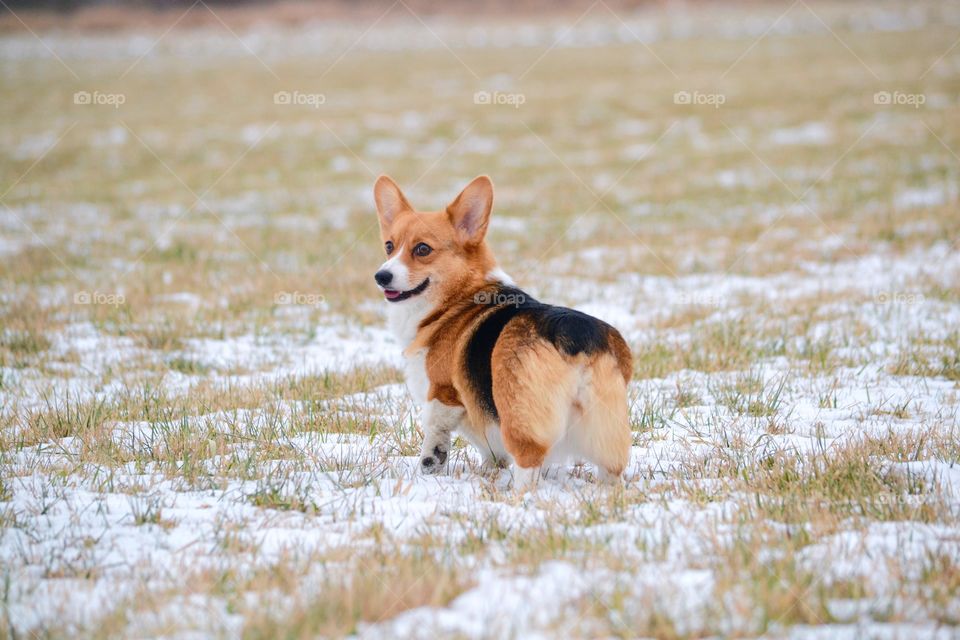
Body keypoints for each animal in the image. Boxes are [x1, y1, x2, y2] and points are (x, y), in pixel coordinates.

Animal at [376, 175, 636, 484]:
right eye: (389, 246)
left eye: (423, 249)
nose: (381, 276)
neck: (458, 298)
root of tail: (574, 336)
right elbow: (490, 453)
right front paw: (487, 473)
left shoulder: (443, 394)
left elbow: (435, 437)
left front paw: (428, 471)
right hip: (605, 428)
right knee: (612, 471)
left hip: (520, 417)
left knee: (528, 459)